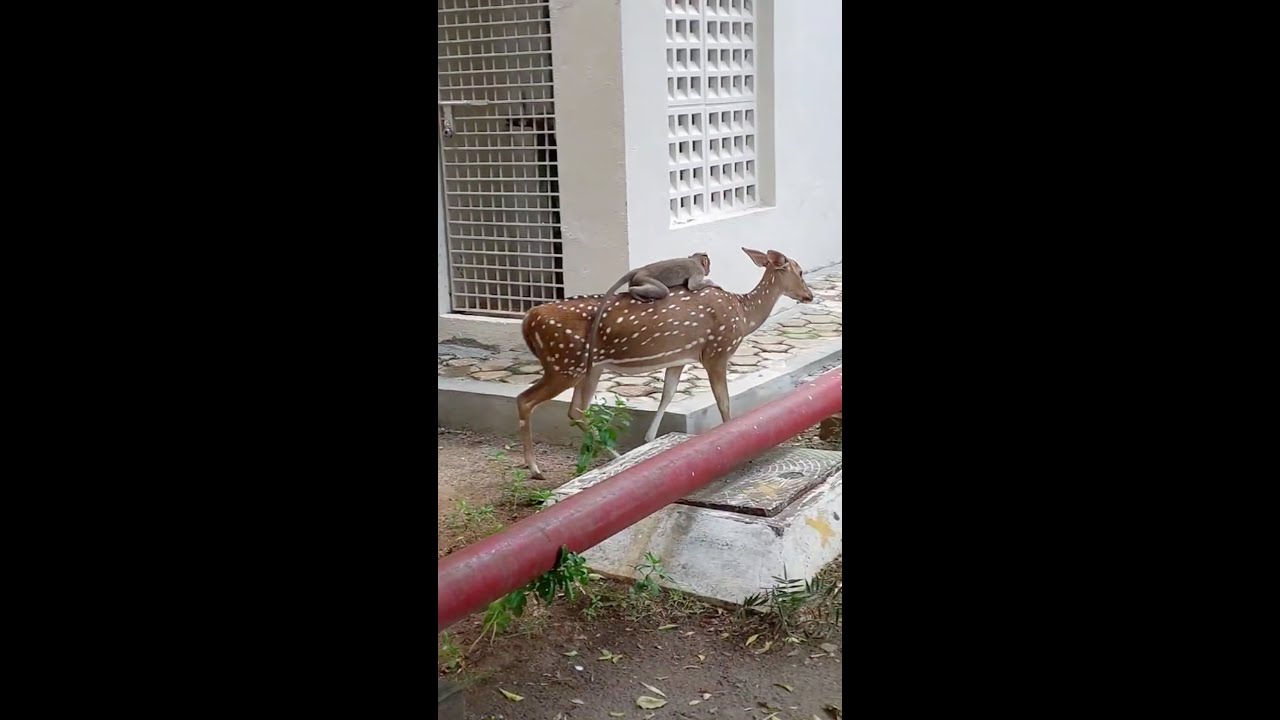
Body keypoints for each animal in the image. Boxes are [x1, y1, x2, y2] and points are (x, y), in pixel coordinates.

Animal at [516, 247, 815, 479]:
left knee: (576, 411)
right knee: (526, 400)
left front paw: (649, 440)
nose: (809, 295)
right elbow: (724, 402)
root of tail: (528, 319)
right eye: (800, 271)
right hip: (563, 363)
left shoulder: (678, 359)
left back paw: (616, 456)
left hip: (589, 369)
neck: (743, 314)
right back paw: (535, 469)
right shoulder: (717, 352)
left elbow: (668, 394)